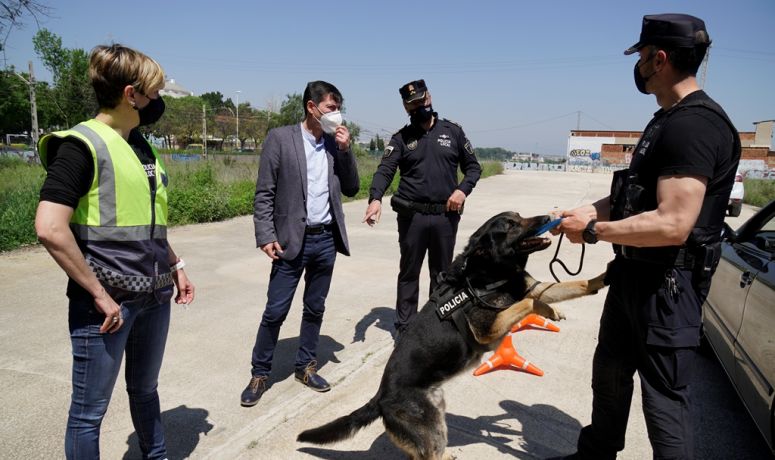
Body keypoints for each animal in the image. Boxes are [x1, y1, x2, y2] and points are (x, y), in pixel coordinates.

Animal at [298, 213, 608, 460]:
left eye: (520, 216)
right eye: (510, 224)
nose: (549, 217)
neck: (488, 272)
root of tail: (381, 397)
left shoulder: (534, 287)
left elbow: (576, 284)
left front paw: (604, 276)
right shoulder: (488, 330)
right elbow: (528, 303)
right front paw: (546, 308)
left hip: (437, 419)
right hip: (434, 432)